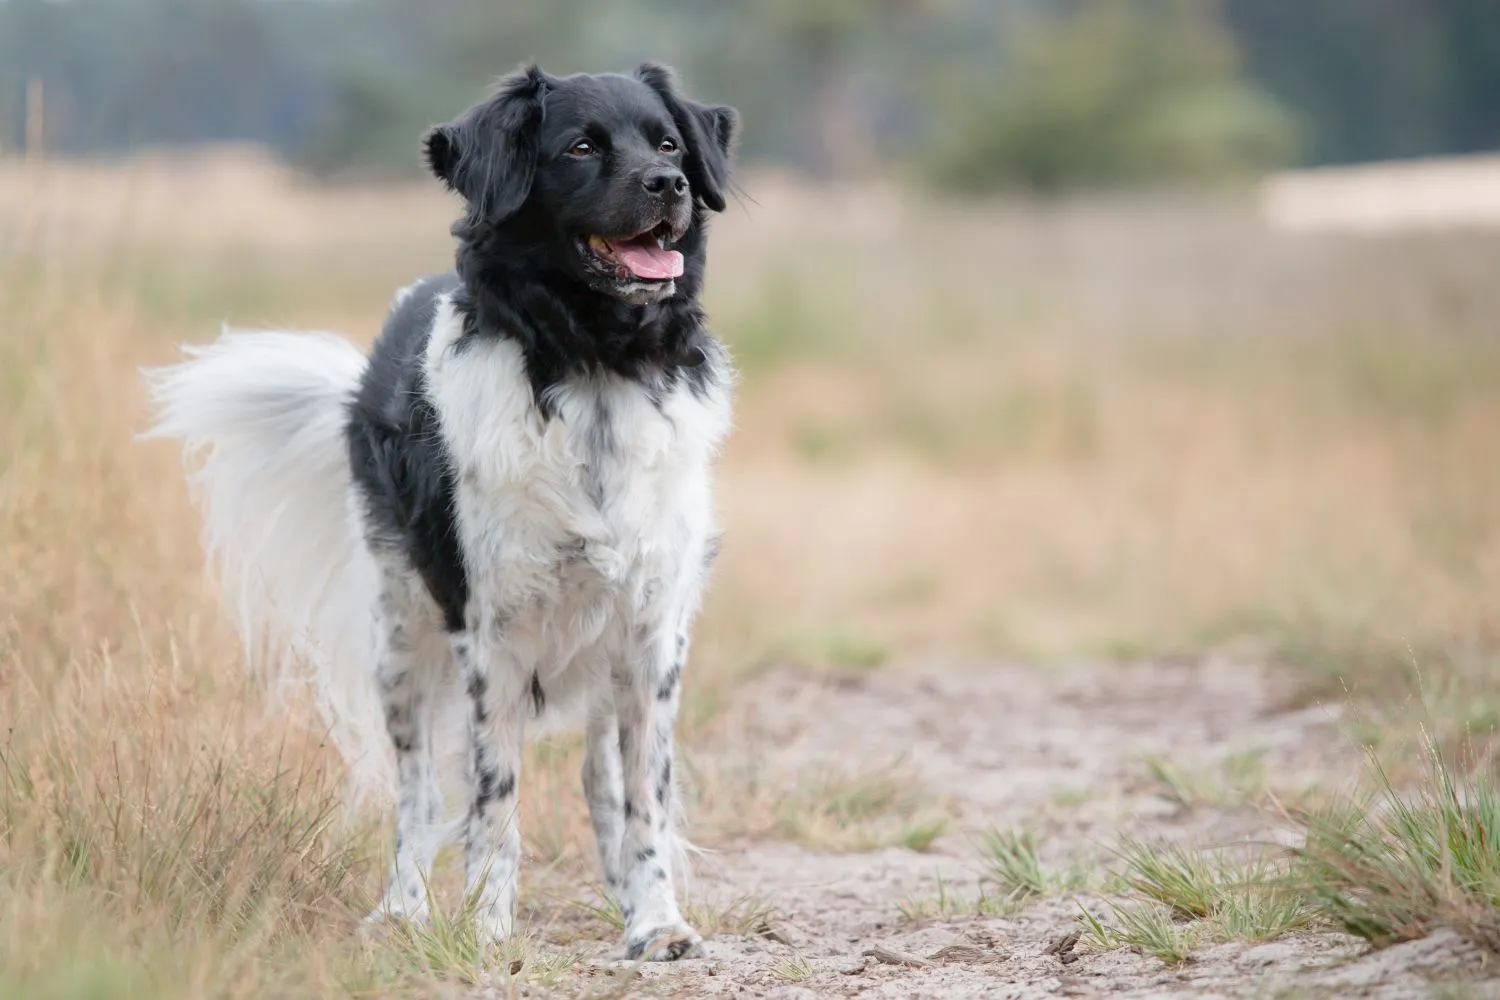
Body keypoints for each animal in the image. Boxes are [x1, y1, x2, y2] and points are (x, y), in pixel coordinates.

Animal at [143, 64, 741, 959]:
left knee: (598, 774)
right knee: (418, 792)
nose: (666, 185)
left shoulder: (651, 631)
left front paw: (655, 919)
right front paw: (488, 928)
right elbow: (494, 802)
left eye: (668, 143)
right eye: (581, 147)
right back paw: (403, 908)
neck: (593, 366)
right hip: (402, 637)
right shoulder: (493, 633)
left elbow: (645, 795)